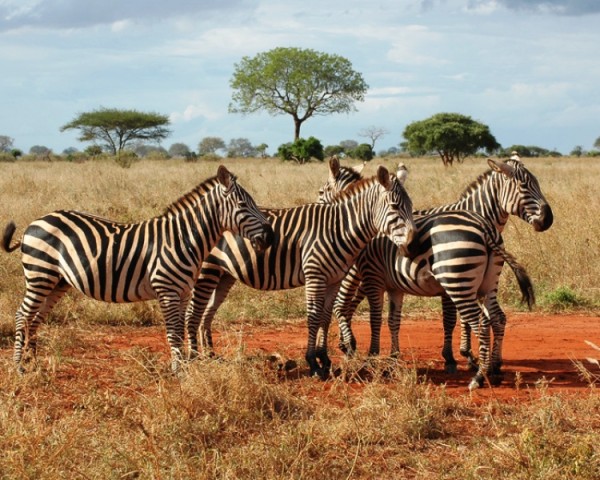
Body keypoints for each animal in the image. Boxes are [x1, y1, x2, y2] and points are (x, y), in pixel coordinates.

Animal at [1, 167, 274, 374]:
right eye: (243, 204)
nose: (271, 236)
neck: (183, 238)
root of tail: (34, 223)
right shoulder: (167, 290)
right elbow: (173, 332)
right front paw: (178, 370)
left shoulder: (183, 293)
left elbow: (182, 330)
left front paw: (185, 366)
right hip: (40, 274)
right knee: (22, 315)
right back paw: (19, 366)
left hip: (57, 281)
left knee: (35, 318)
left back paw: (33, 360)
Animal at [185, 165, 414, 378]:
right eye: (395, 206)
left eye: (411, 206)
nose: (411, 244)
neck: (338, 228)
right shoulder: (315, 276)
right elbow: (313, 316)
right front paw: (313, 362)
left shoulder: (334, 279)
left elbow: (325, 317)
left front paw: (324, 359)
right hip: (208, 269)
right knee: (193, 312)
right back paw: (193, 358)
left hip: (225, 275)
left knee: (207, 312)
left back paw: (210, 355)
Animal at [318, 156, 552, 388]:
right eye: (524, 186)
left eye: (534, 184)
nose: (548, 220)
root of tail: (485, 228)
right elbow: (451, 320)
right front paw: (462, 357)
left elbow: (452, 320)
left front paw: (463, 357)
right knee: (340, 307)